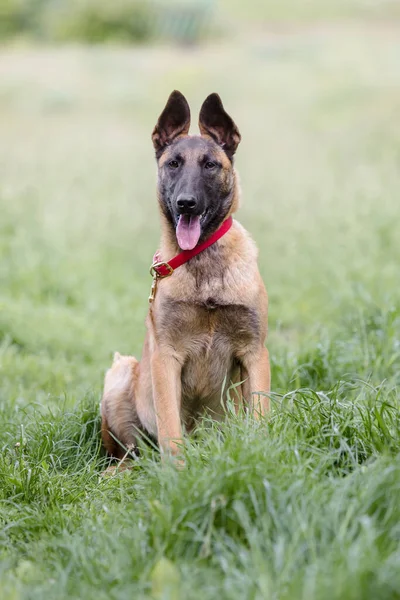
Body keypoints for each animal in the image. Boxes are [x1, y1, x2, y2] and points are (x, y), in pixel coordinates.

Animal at [100, 90, 270, 464]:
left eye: (210, 165)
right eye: (174, 164)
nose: (186, 204)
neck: (203, 266)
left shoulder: (255, 352)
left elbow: (262, 414)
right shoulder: (166, 358)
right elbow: (170, 429)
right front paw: (177, 472)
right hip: (121, 375)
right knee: (128, 453)